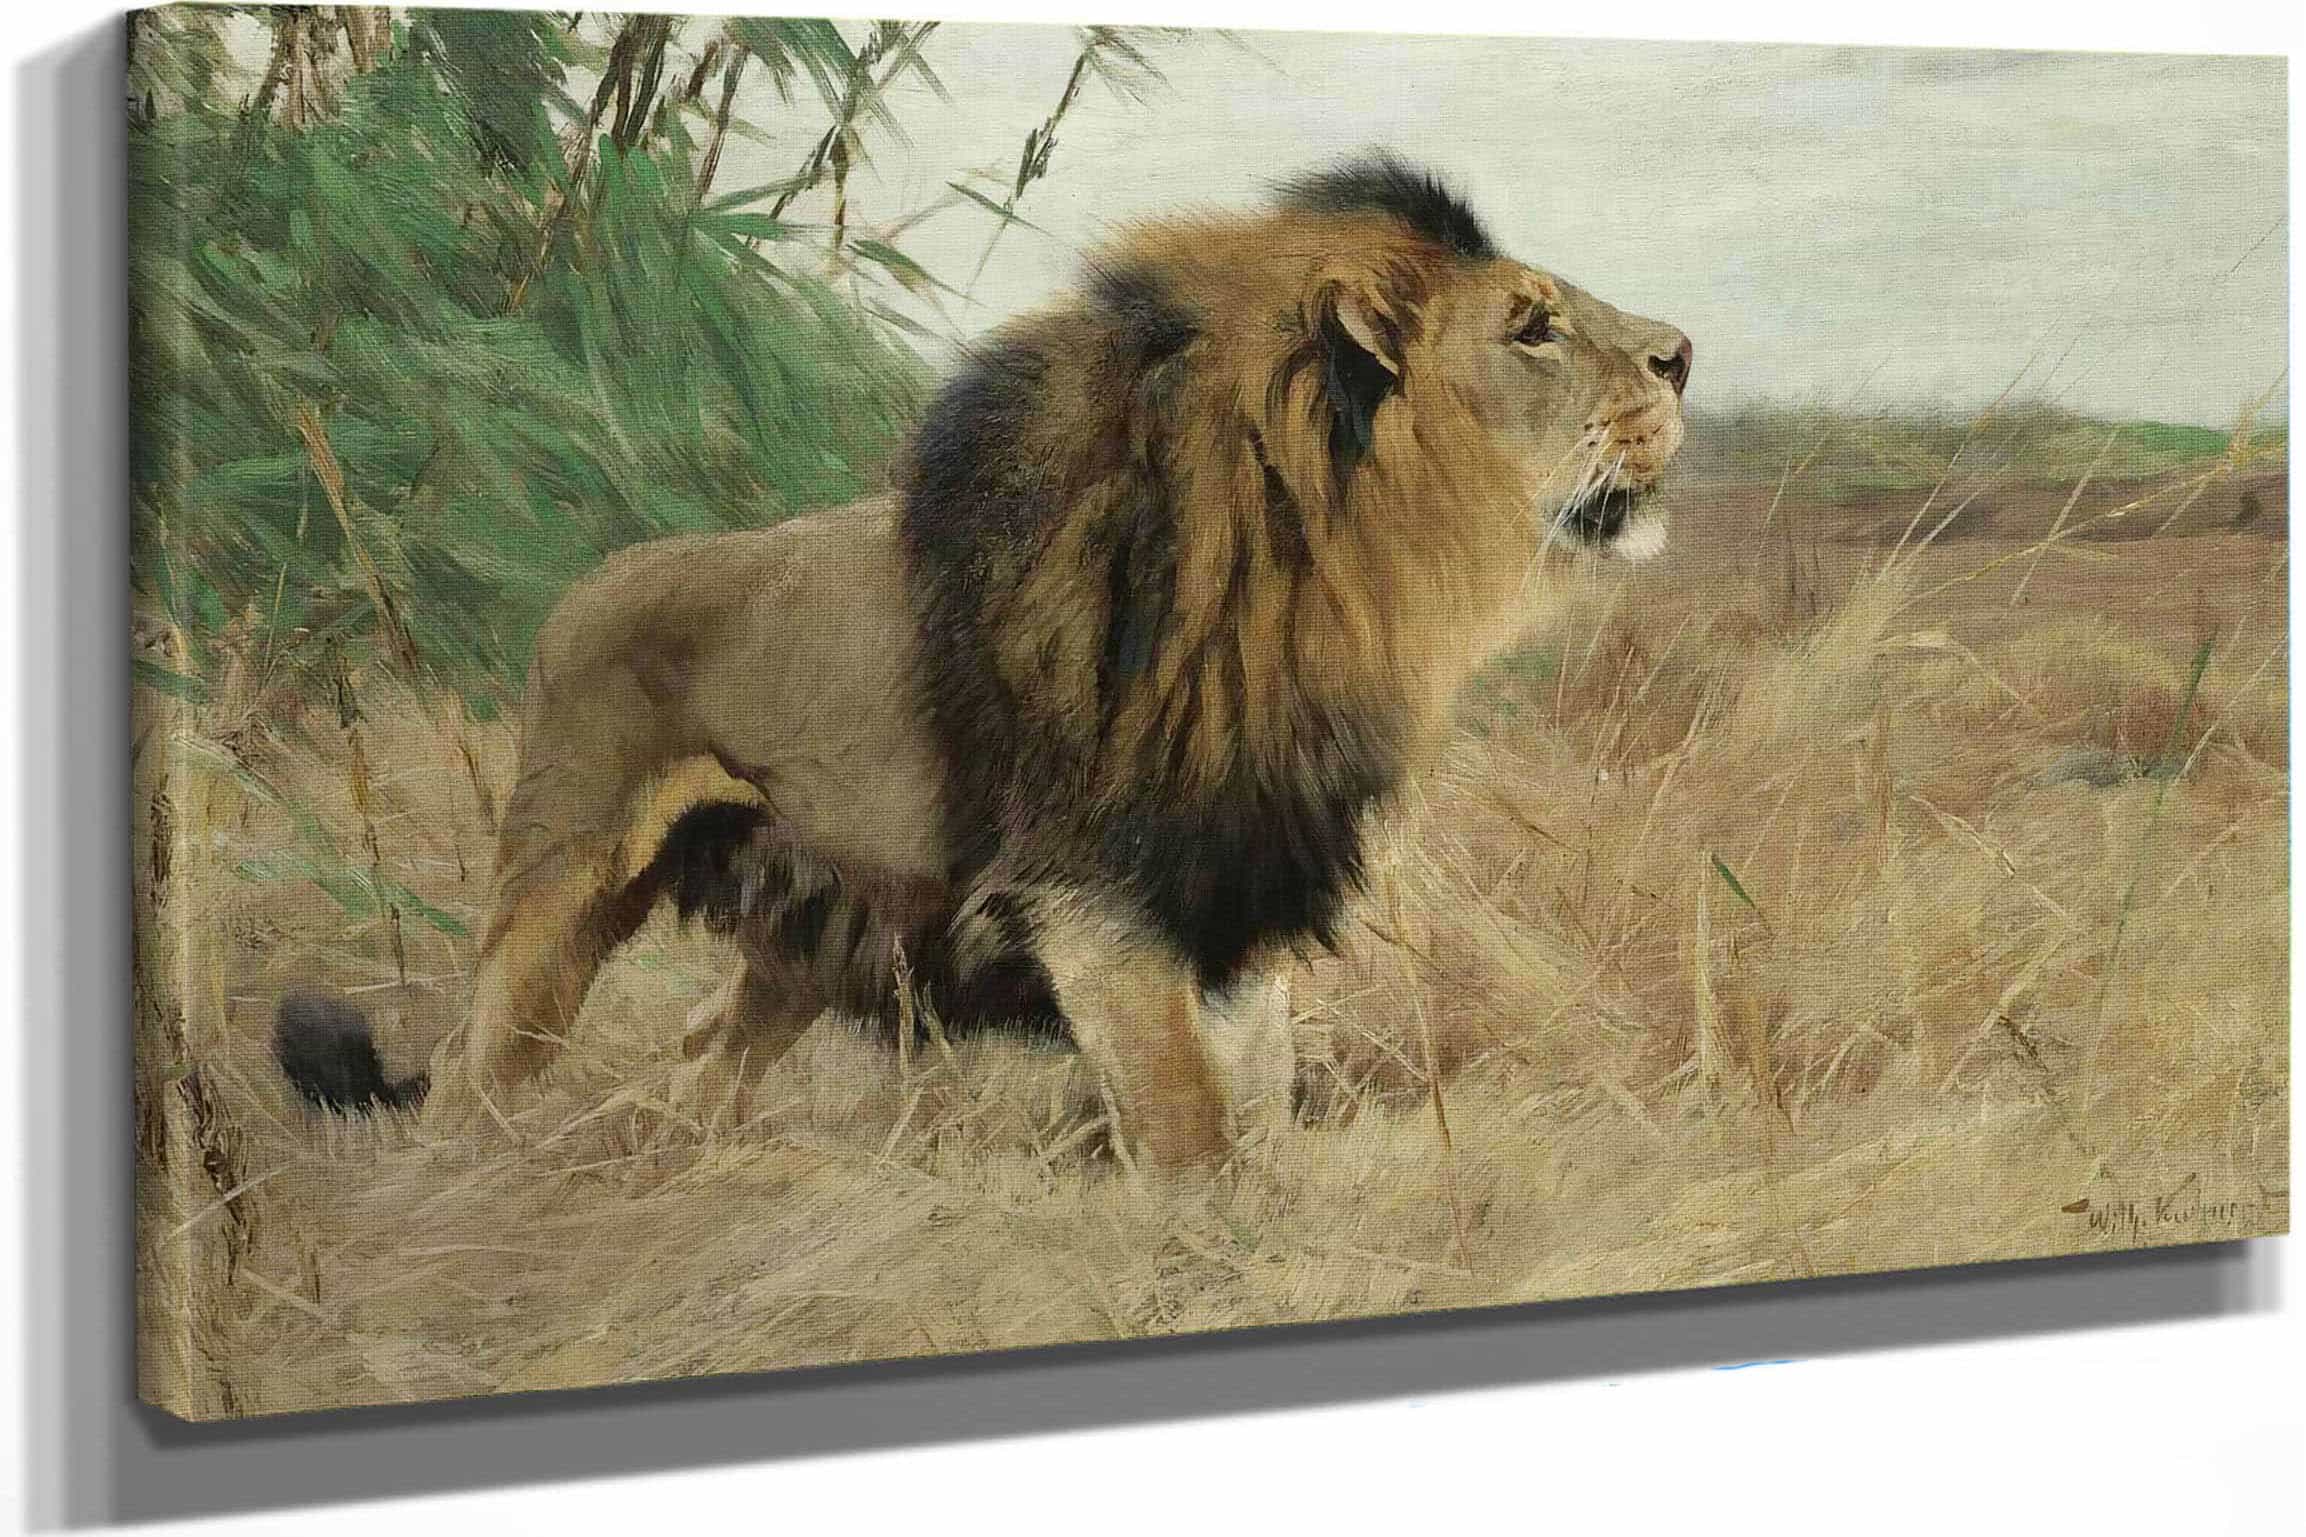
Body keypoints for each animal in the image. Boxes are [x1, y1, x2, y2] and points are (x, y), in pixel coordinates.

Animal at [277, 152, 1692, 1164]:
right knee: (473, 1076)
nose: (1682, 353)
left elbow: (1259, 1106)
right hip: (561, 885)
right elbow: (1186, 1127)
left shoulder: (1231, 885)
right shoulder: (1095, 894)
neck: (1331, 578)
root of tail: (587, 584)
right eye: (1531, 327)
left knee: (699, 1051)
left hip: (813, 924)